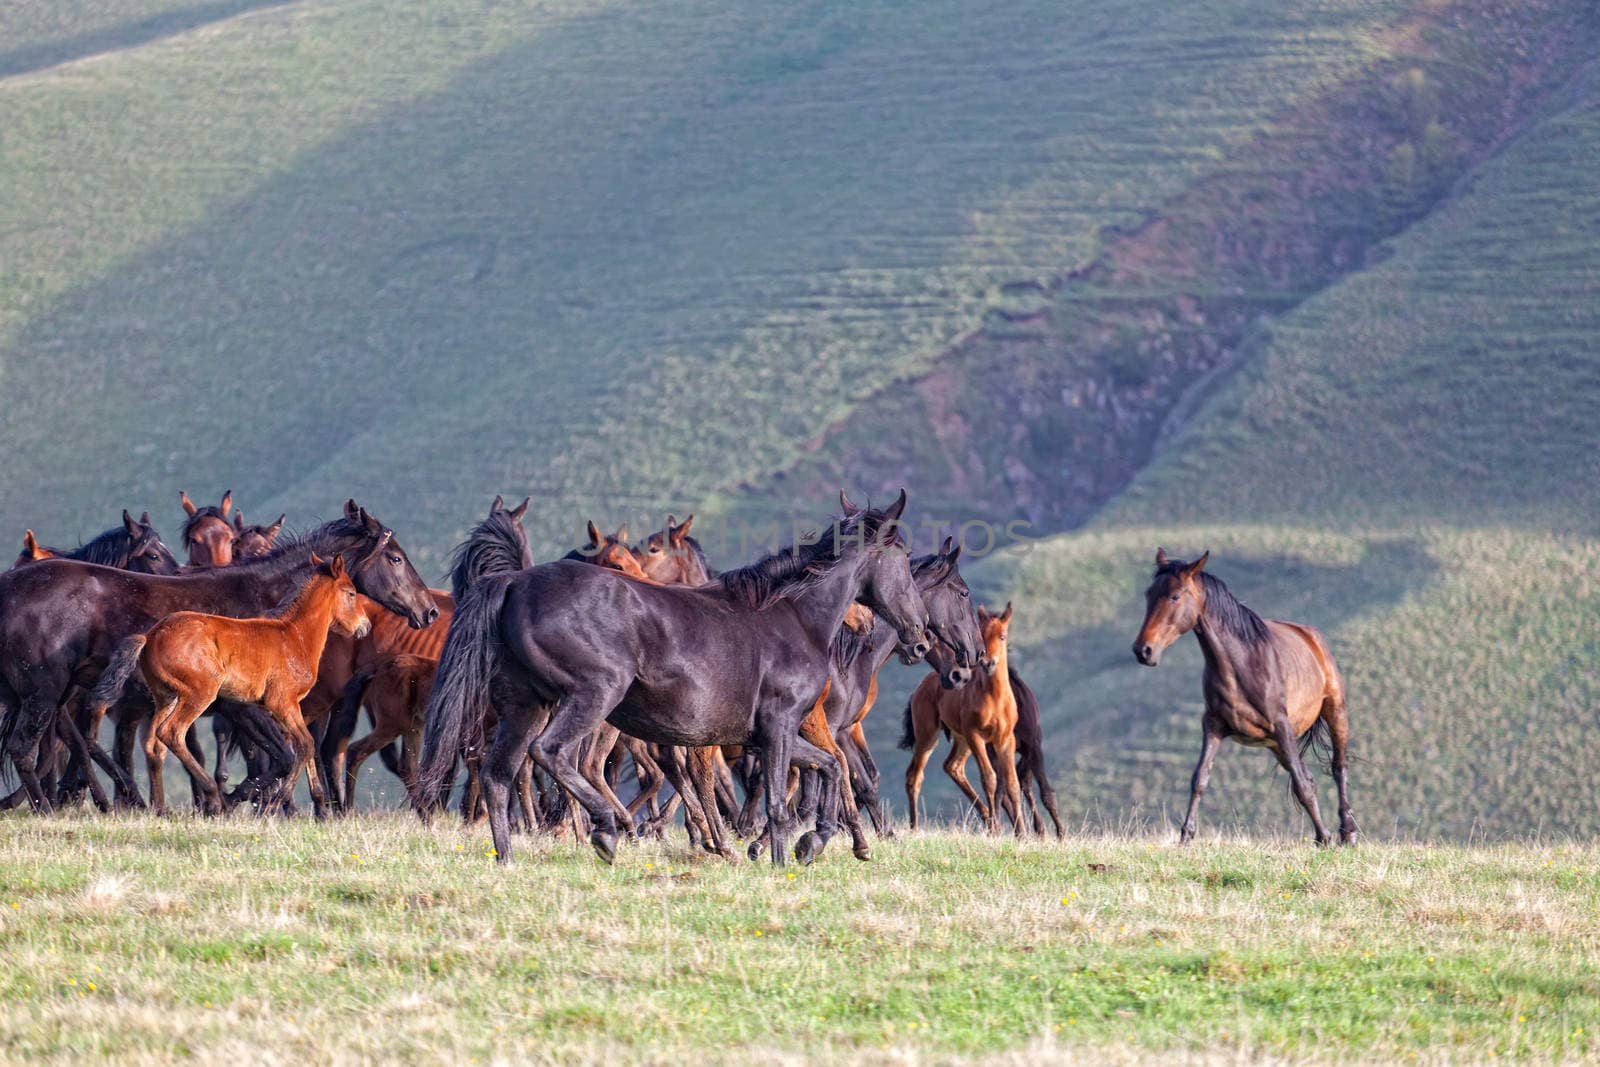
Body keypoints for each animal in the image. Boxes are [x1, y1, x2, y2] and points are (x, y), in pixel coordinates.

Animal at [124, 556, 371, 812]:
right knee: (171, 732)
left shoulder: (291, 708)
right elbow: (305, 745)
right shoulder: (281, 703)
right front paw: (276, 801)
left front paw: (312, 800)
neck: (295, 635)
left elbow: (302, 748)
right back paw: (213, 795)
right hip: (199, 693)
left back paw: (160, 808)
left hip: (166, 696)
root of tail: (151, 636)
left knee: (154, 744)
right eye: (351, 593)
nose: (365, 625)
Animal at [419, 492, 934, 870]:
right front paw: (782, 858)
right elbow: (780, 800)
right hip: (590, 698)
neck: (794, 616)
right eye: (903, 556)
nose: (920, 635)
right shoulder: (781, 726)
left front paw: (814, 842)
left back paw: (507, 859)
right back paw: (608, 831)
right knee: (551, 754)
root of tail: (514, 582)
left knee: (499, 773)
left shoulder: (768, 735)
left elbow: (826, 767)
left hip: (526, 706)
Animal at [908, 601, 1017, 831]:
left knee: (952, 767)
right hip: (928, 736)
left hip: (961, 739)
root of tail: (923, 685)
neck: (995, 697)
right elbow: (989, 778)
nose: (988, 662)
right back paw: (914, 827)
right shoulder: (975, 735)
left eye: (1002, 636)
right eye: (982, 635)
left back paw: (986, 816)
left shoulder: (1005, 739)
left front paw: (1020, 832)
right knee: (914, 776)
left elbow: (1012, 783)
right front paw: (996, 829)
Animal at [1132, 547, 1356, 844]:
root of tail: (1311, 637)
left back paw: (1348, 832)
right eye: (1148, 594)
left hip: (1333, 713)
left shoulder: (1281, 726)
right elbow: (1199, 779)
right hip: (1275, 744)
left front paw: (1326, 838)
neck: (1242, 664)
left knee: (1338, 767)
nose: (1143, 650)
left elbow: (1302, 785)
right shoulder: (1214, 725)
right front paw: (1185, 837)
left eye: (1175, 596)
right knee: (1308, 776)